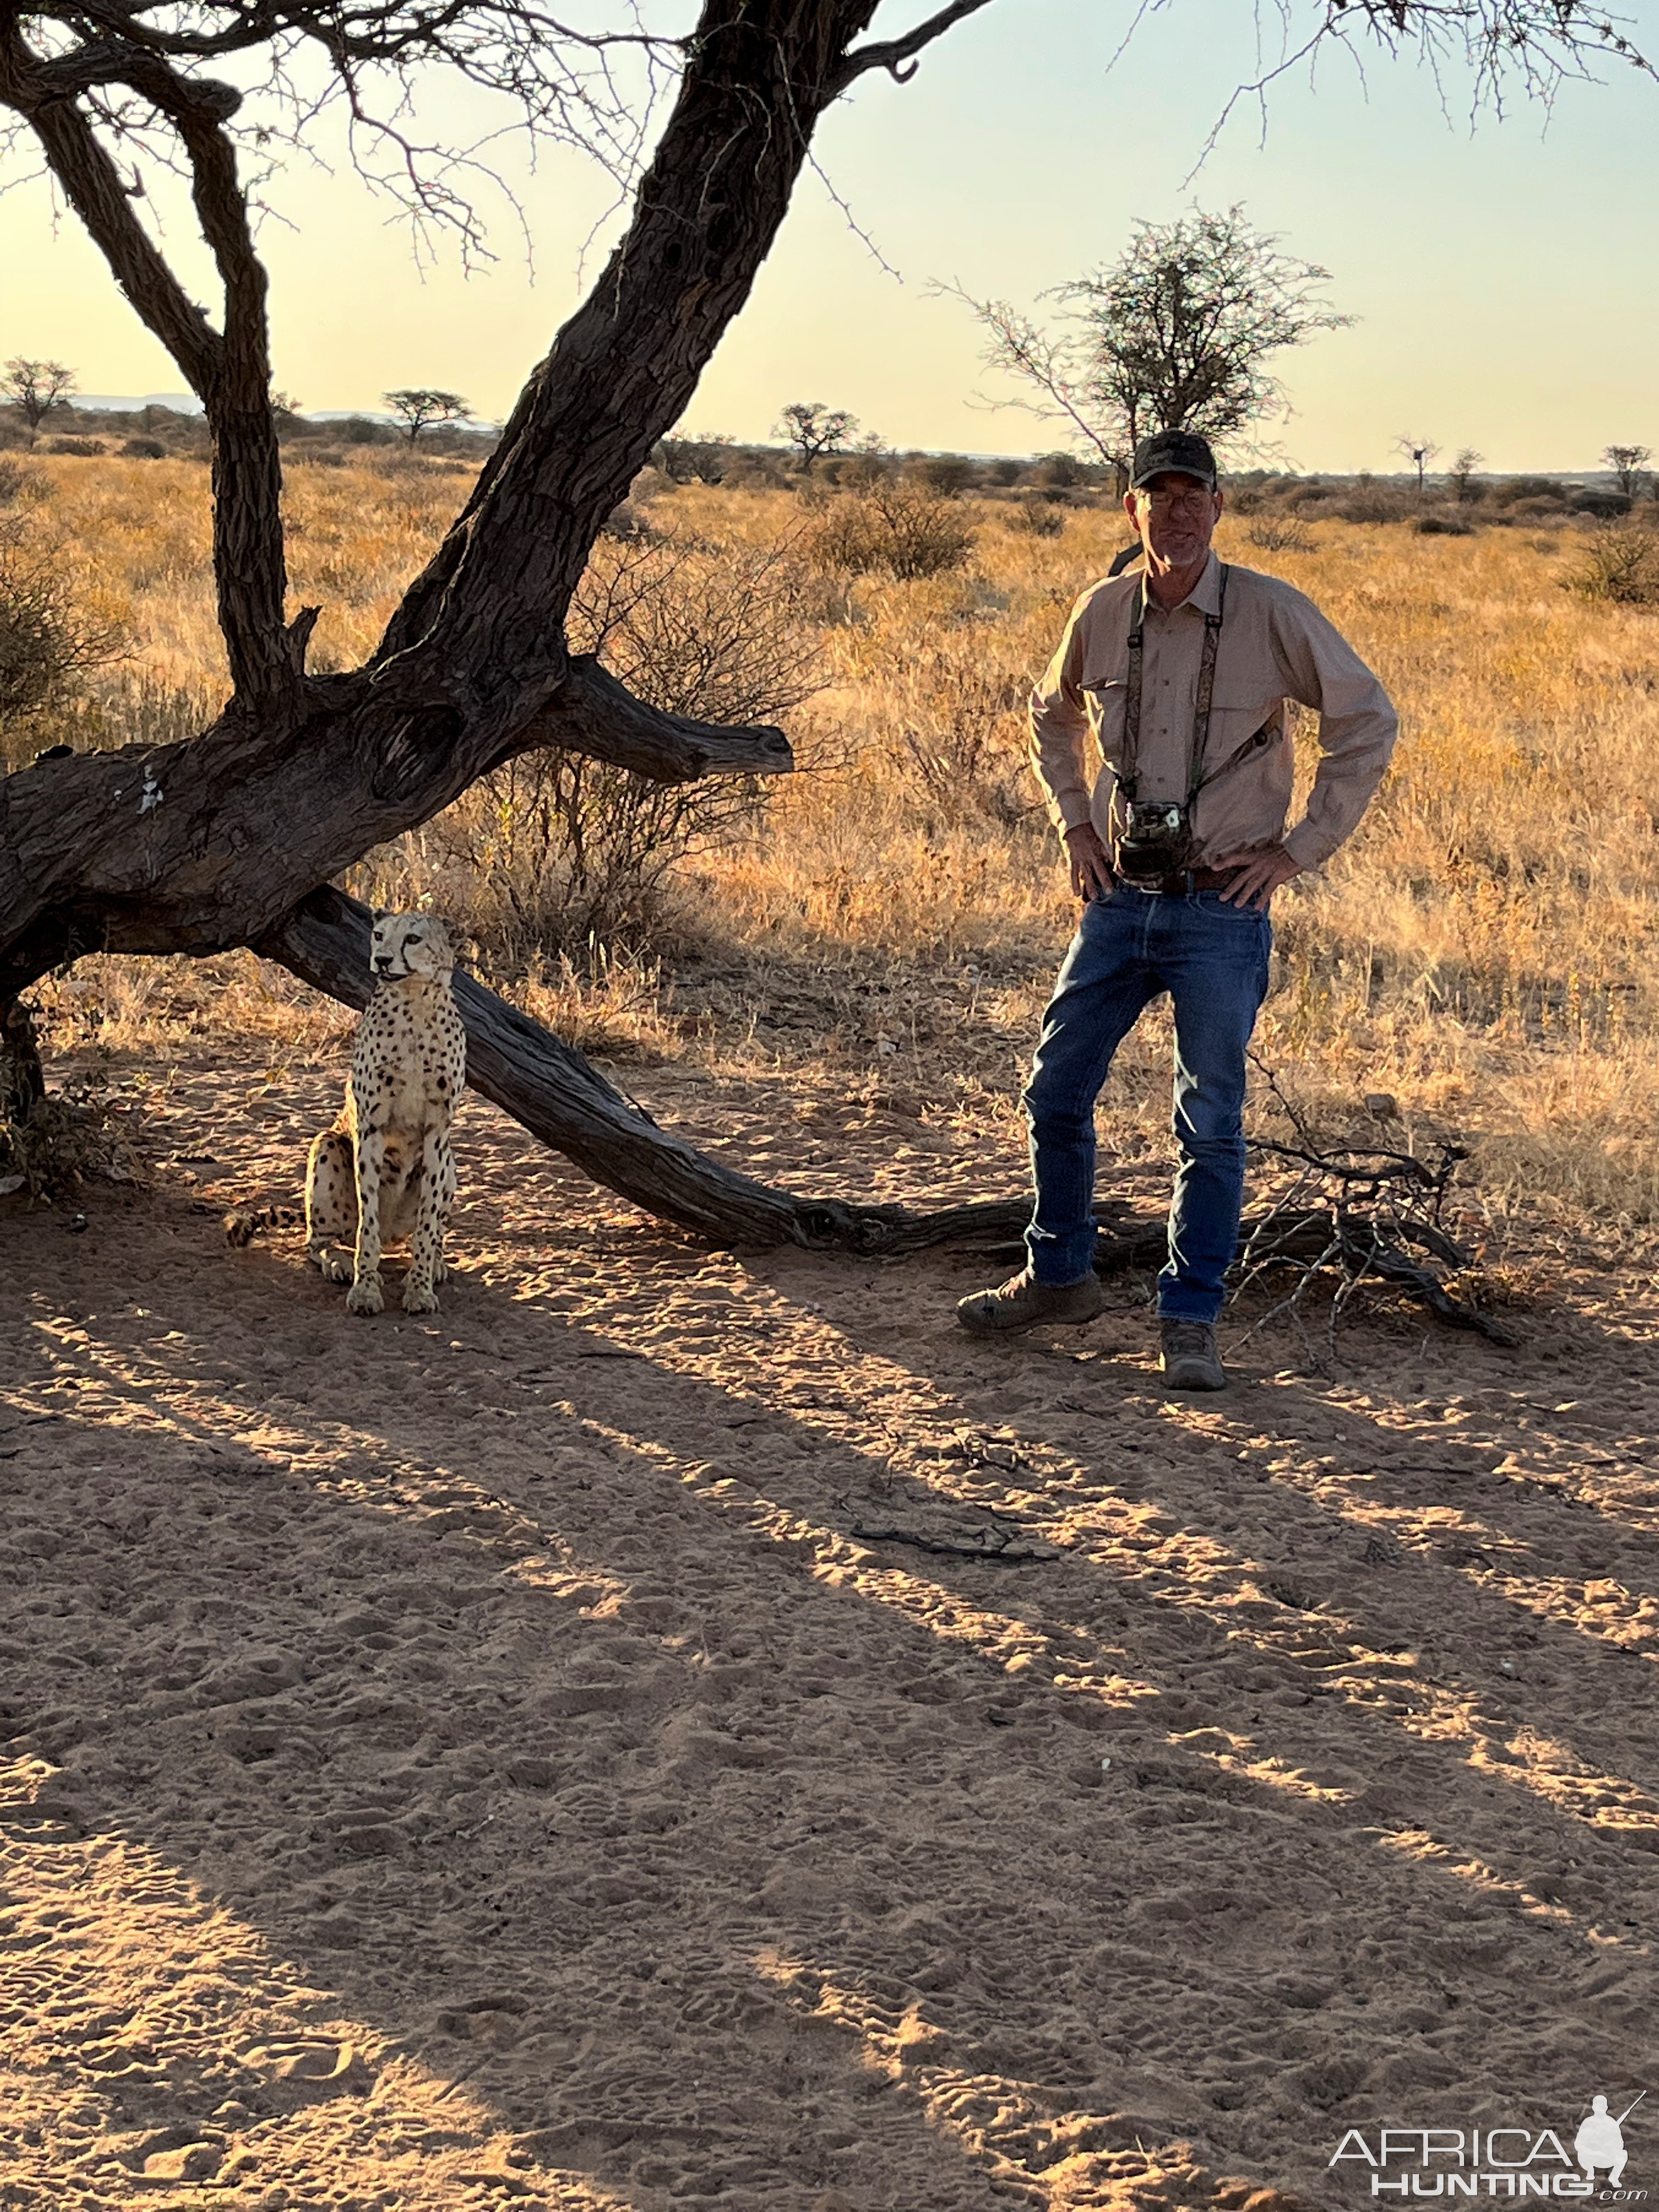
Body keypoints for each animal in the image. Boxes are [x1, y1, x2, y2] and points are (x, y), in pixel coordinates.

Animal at [305, 911, 469, 1309]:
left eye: (413, 938)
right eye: (378, 935)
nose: (381, 960)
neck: (414, 1007)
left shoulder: (438, 1131)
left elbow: (427, 1224)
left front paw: (420, 1288)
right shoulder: (371, 1127)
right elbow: (369, 1221)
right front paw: (365, 1290)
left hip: (451, 1161)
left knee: (431, 1230)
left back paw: (435, 1263)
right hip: (328, 1144)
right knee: (320, 1240)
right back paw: (338, 1260)